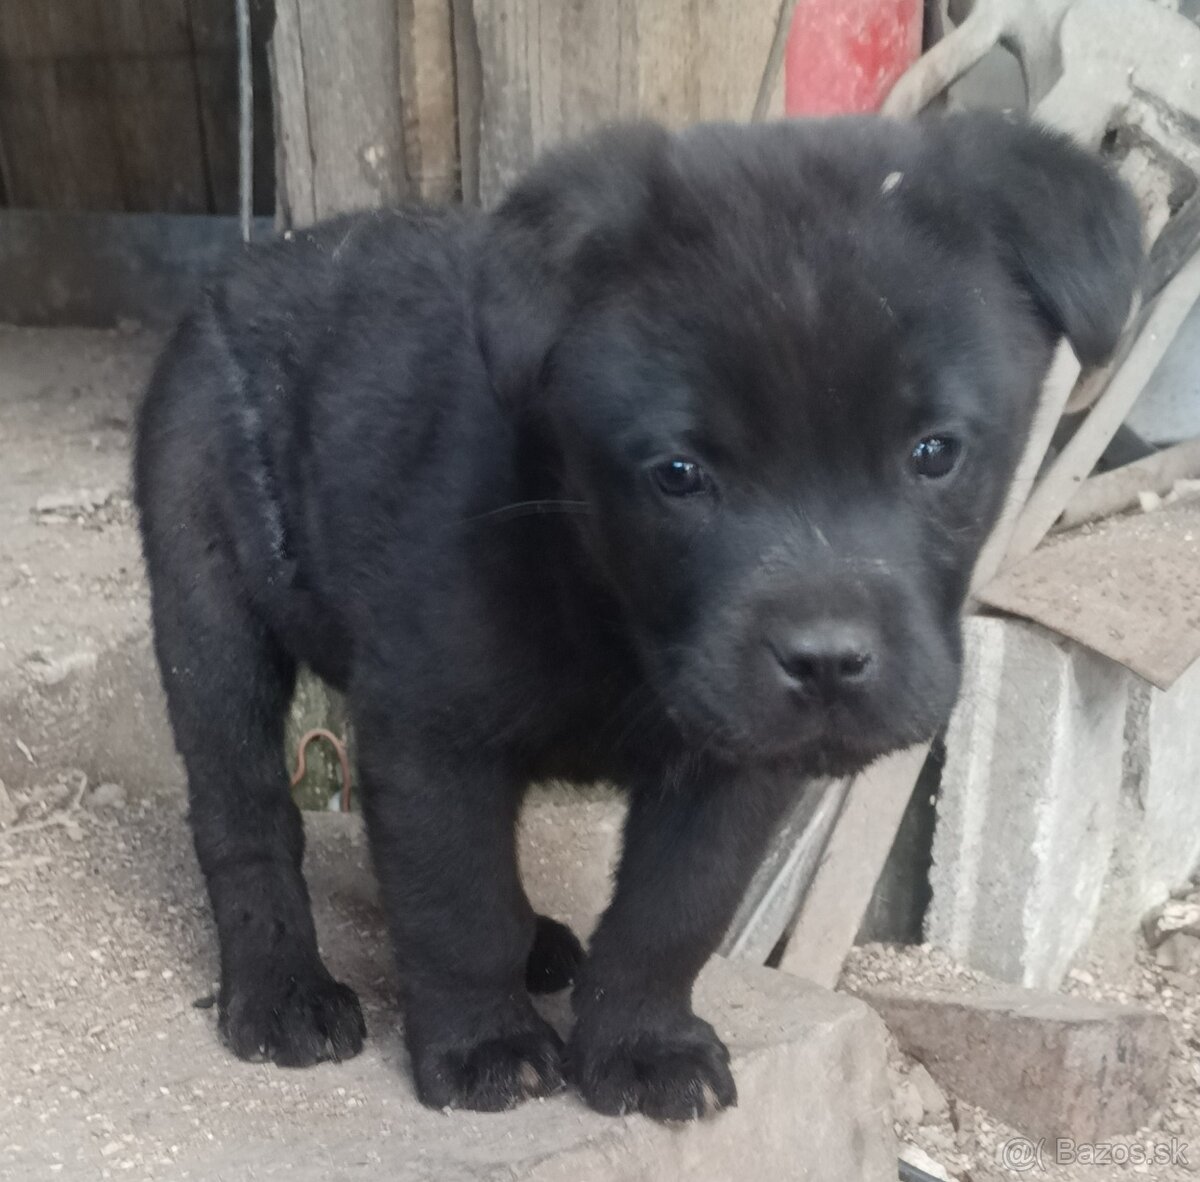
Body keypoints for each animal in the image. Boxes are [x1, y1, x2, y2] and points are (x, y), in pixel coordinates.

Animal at [136, 115, 1137, 1123]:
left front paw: (639, 1044)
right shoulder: (433, 730)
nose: (826, 663)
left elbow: (673, 912)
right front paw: (484, 1043)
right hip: (208, 614)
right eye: (679, 474)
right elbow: (455, 904)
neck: (611, 606)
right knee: (244, 815)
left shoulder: (737, 766)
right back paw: (280, 992)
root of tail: (242, 270)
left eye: (935, 453)